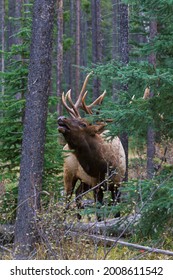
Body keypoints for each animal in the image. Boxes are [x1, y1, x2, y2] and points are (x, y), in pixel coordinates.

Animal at [58, 72, 125, 221]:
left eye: (84, 124)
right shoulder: (96, 185)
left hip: (85, 181)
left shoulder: (118, 183)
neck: (105, 166)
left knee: (77, 194)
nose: (61, 118)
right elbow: (99, 212)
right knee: (67, 199)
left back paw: (78, 219)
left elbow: (117, 211)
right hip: (69, 173)